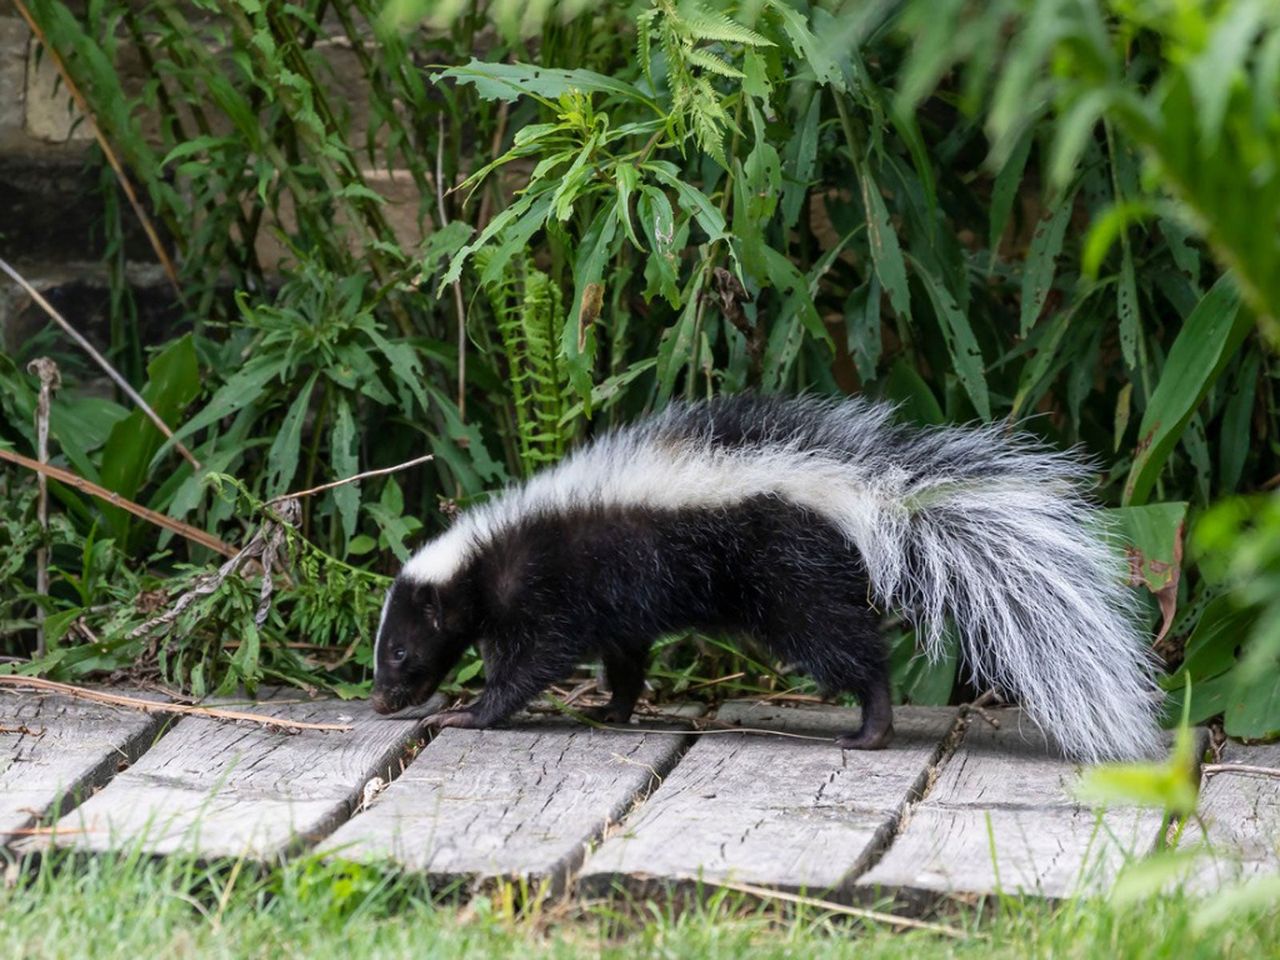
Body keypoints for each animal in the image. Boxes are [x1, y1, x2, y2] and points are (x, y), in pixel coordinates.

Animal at [368, 394, 1162, 762]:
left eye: (400, 652)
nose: (380, 701)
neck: (487, 551)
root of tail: (861, 493)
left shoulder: (549, 586)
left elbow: (531, 662)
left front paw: (467, 713)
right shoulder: (608, 603)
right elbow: (624, 657)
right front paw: (615, 710)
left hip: (790, 585)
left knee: (854, 651)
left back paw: (870, 729)